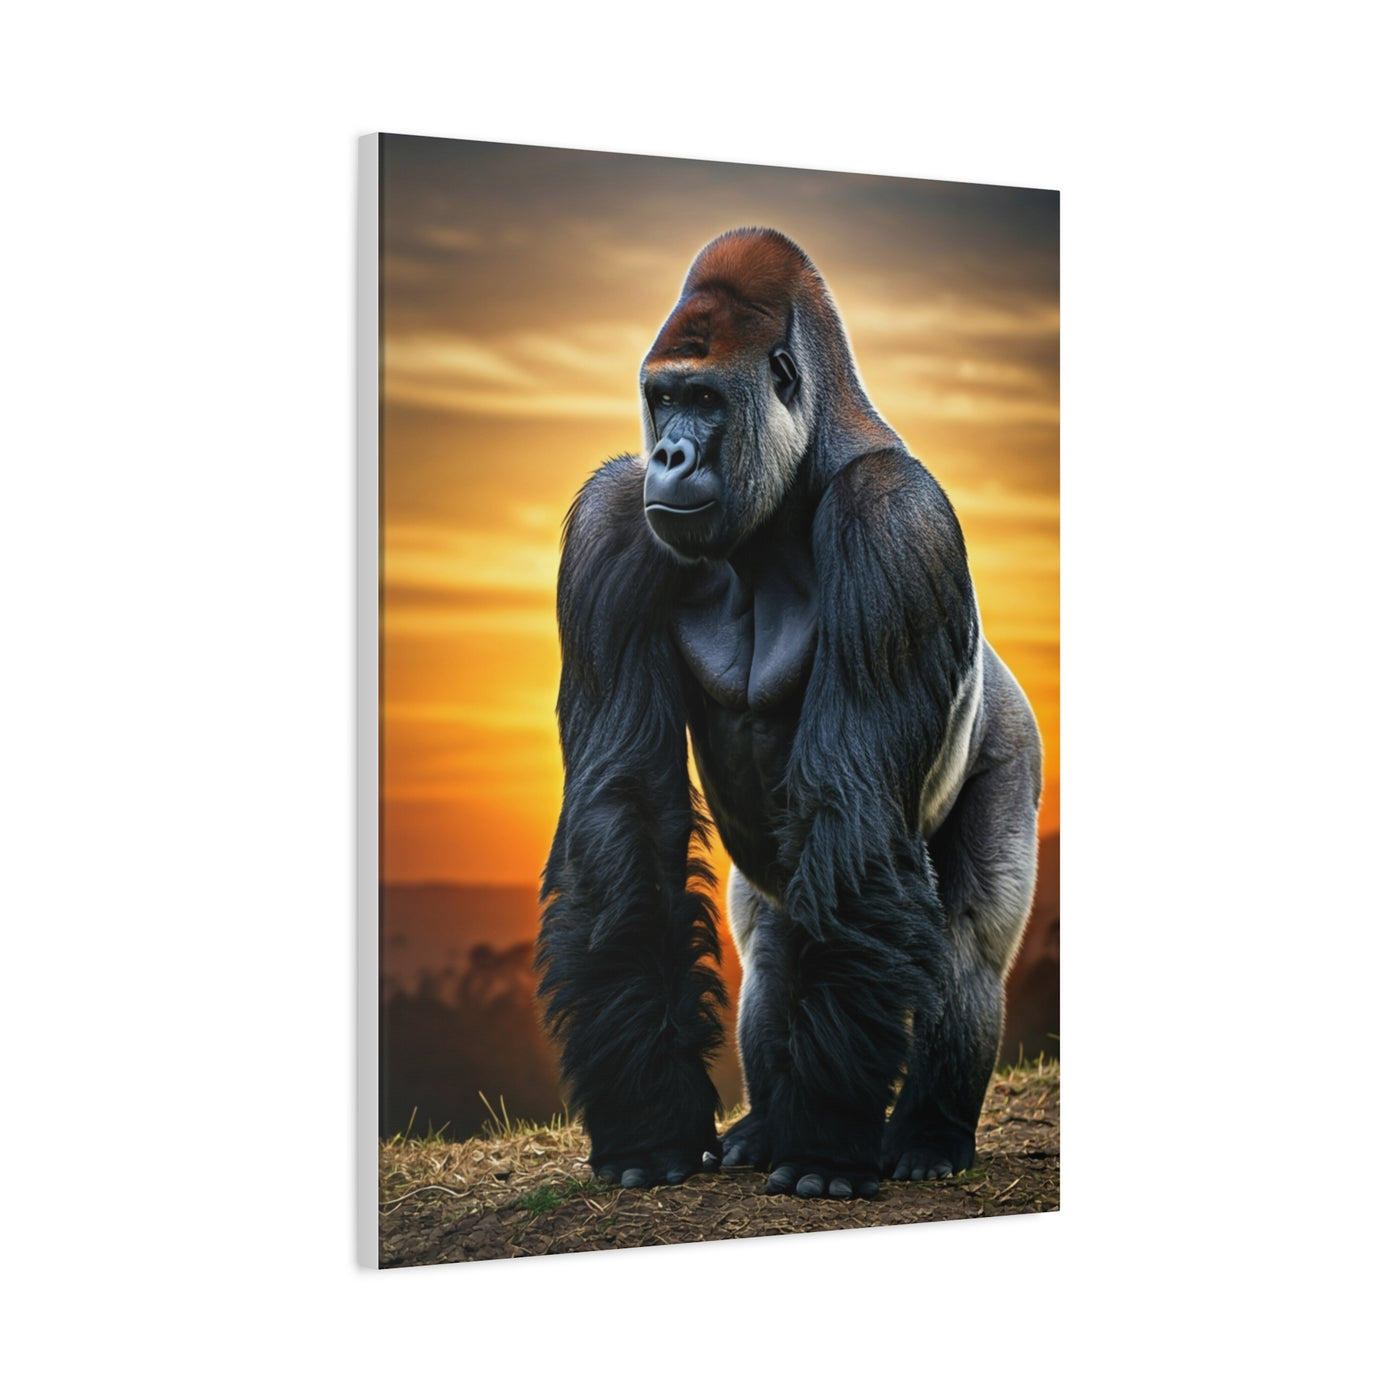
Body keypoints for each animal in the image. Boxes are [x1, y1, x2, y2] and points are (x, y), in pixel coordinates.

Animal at [536, 228, 1042, 1199]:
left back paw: (925, 1132)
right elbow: (626, 811)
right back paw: (767, 1124)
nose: (671, 457)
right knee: (775, 944)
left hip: (1015, 746)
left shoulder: (895, 525)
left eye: (705, 400)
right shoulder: (613, 522)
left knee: (965, 940)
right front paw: (651, 1122)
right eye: (662, 398)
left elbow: (855, 815)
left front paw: (826, 1147)